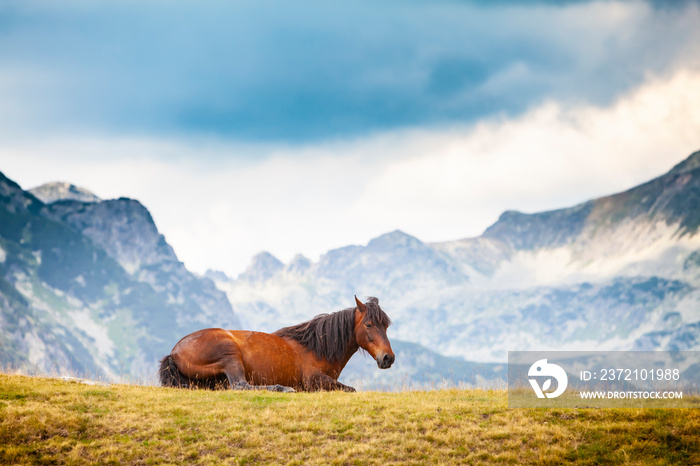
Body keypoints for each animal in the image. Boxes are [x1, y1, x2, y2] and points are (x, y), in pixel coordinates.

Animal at [158, 296, 394, 392]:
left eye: (386, 325)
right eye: (369, 325)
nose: (388, 358)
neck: (316, 347)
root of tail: (174, 352)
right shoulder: (313, 379)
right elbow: (350, 389)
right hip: (229, 353)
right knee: (240, 386)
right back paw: (283, 388)